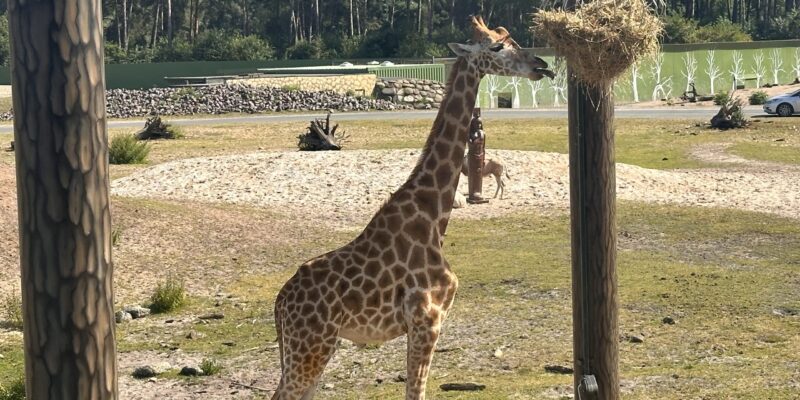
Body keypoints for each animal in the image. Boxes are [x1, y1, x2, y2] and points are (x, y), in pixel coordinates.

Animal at [271, 16, 553, 400]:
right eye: (497, 47)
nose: (541, 65)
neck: (434, 215)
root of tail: (279, 304)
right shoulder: (427, 320)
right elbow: (415, 391)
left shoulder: (421, 324)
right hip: (310, 347)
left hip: (312, 348)